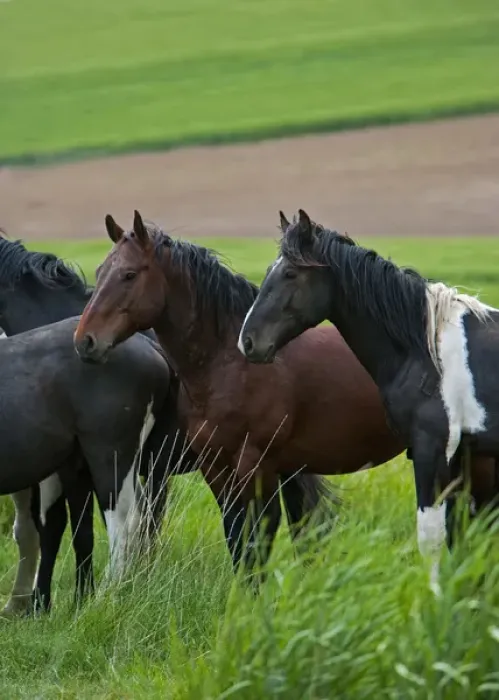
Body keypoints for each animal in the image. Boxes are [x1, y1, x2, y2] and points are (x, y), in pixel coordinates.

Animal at [74, 209, 408, 577]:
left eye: (129, 274)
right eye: (100, 272)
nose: (85, 341)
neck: (229, 363)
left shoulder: (257, 467)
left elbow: (258, 539)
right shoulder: (216, 467)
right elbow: (236, 537)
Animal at [238, 209, 499, 589]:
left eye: (290, 273)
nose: (247, 341)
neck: (426, 349)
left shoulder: (432, 450)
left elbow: (432, 537)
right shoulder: (462, 455)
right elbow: (459, 535)